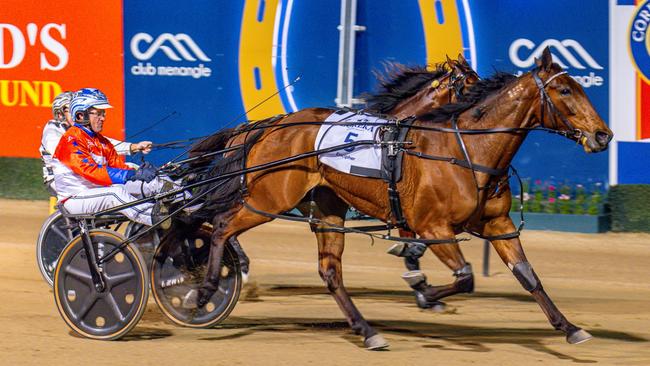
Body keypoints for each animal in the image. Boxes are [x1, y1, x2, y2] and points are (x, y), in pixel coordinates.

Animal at [186, 48, 608, 348]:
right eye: (566, 90)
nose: (604, 135)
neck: (465, 149)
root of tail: (267, 126)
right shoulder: (432, 225)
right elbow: (464, 275)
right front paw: (427, 294)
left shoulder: (497, 224)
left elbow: (527, 275)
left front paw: (570, 327)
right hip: (267, 198)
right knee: (220, 226)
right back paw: (204, 288)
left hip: (326, 207)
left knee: (329, 271)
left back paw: (367, 330)